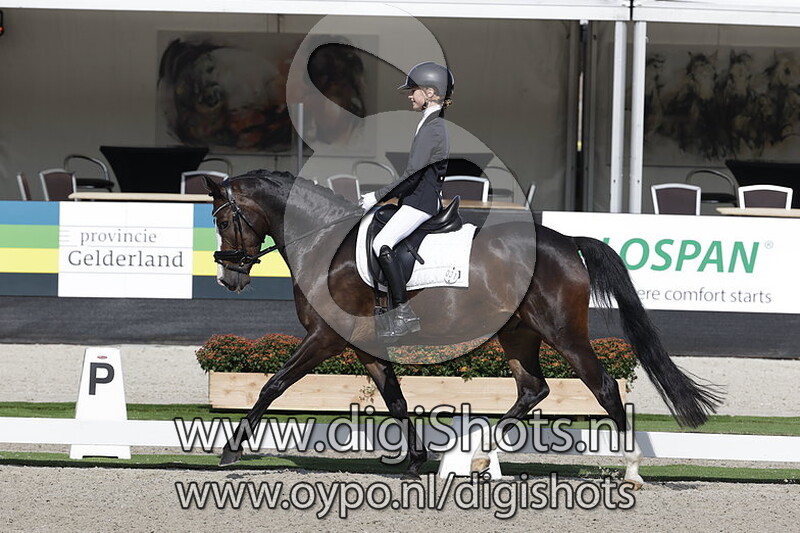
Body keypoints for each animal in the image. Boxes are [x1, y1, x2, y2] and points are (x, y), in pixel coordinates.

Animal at [205, 170, 721, 486]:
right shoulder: (364, 346)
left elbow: (273, 385)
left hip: (564, 333)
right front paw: (416, 461)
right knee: (533, 389)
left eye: (224, 220)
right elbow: (395, 401)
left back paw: (631, 469)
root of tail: (567, 242)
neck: (325, 244)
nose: (229, 278)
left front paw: (230, 451)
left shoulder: (325, 338)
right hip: (518, 334)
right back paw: (479, 457)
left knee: (604, 387)